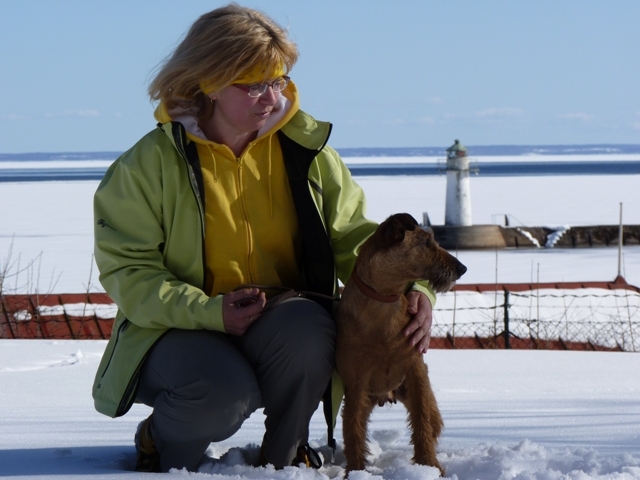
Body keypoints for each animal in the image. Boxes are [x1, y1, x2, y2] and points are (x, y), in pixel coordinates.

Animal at [336, 213, 467, 476]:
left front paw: (429, 466)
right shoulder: (356, 383)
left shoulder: (416, 372)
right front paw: (355, 471)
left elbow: (422, 422)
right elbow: (353, 430)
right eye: (426, 242)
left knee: (433, 422)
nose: (462, 268)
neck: (386, 302)